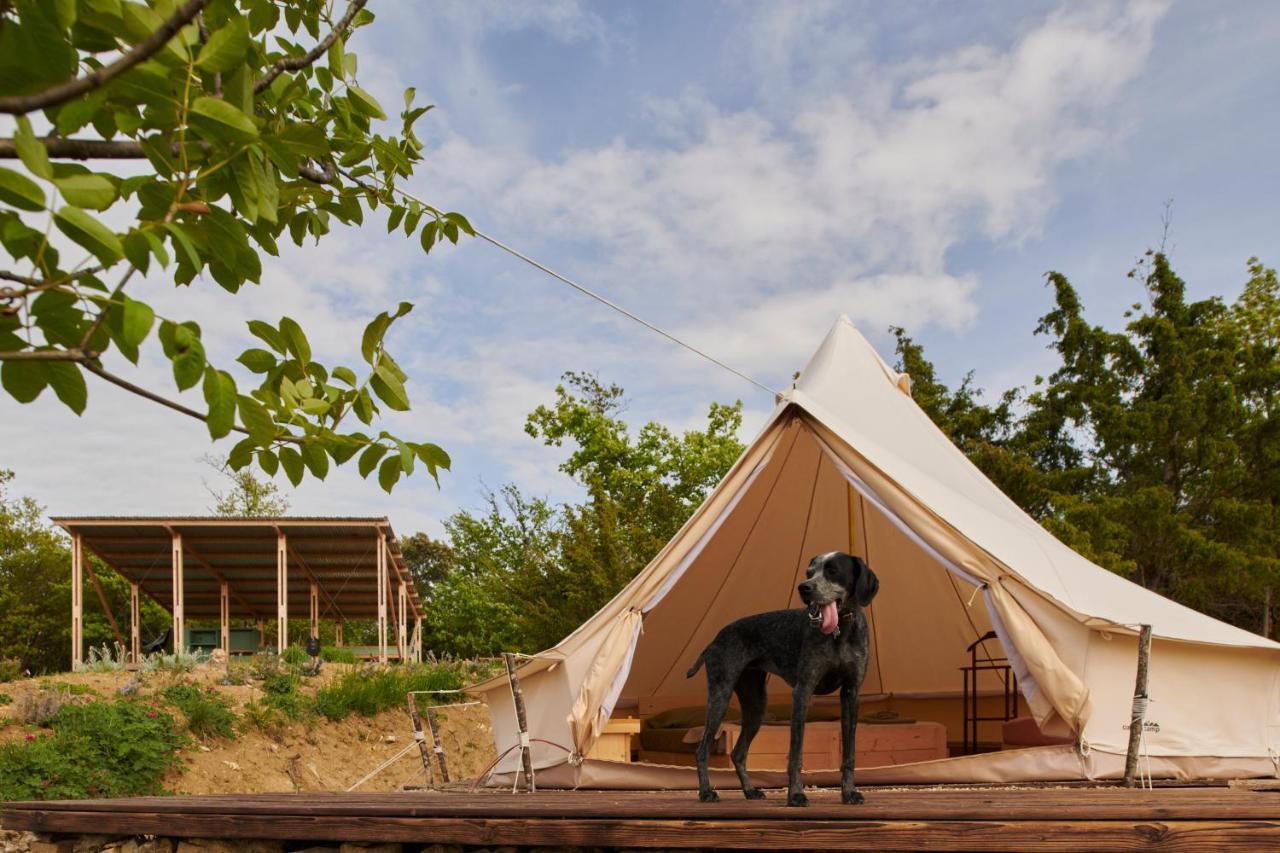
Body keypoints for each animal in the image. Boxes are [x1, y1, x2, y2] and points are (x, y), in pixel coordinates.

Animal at [691, 550, 880, 804]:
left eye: (833, 571)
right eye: (809, 573)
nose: (804, 588)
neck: (840, 633)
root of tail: (714, 640)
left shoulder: (851, 694)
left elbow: (849, 755)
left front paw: (849, 793)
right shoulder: (803, 691)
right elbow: (795, 755)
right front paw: (796, 794)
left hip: (756, 707)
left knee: (738, 753)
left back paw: (750, 791)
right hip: (720, 698)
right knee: (701, 750)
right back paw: (706, 792)